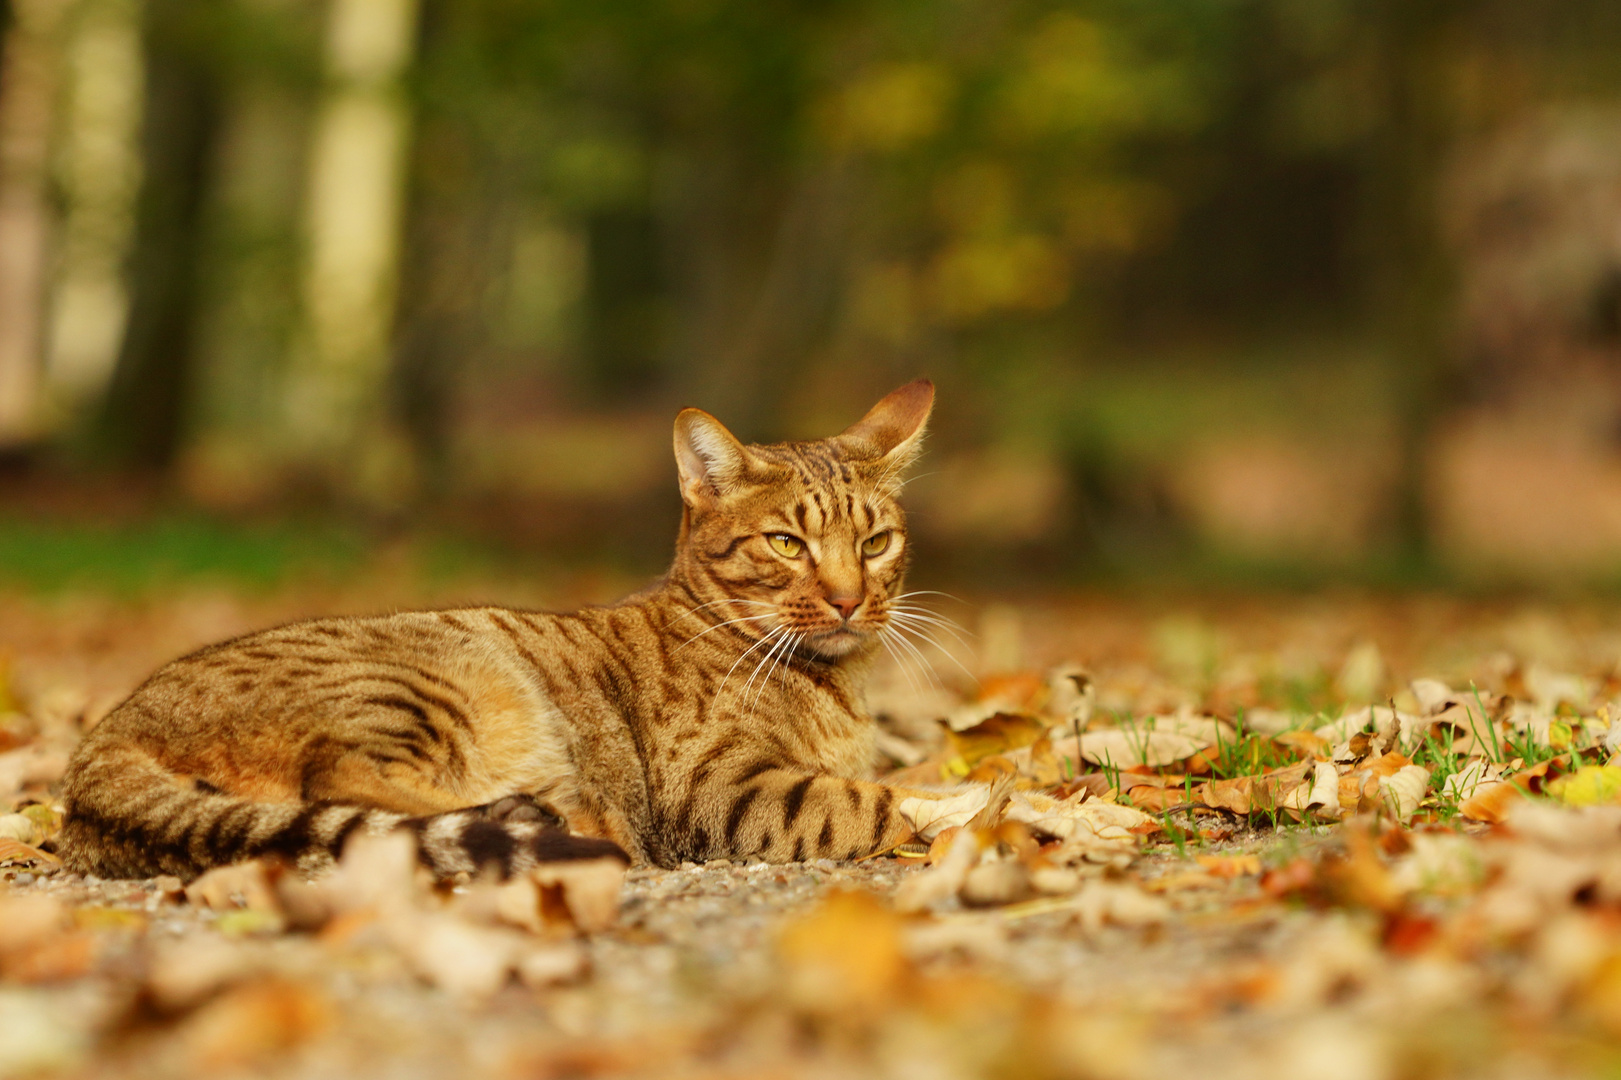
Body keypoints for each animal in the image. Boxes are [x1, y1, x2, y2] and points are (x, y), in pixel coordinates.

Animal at [63, 377, 946, 875]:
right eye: (786, 544)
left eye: (875, 543)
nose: (848, 600)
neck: (838, 688)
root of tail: (100, 742)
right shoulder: (722, 790)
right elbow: (886, 801)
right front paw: (958, 807)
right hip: (428, 680)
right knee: (341, 781)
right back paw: (553, 818)